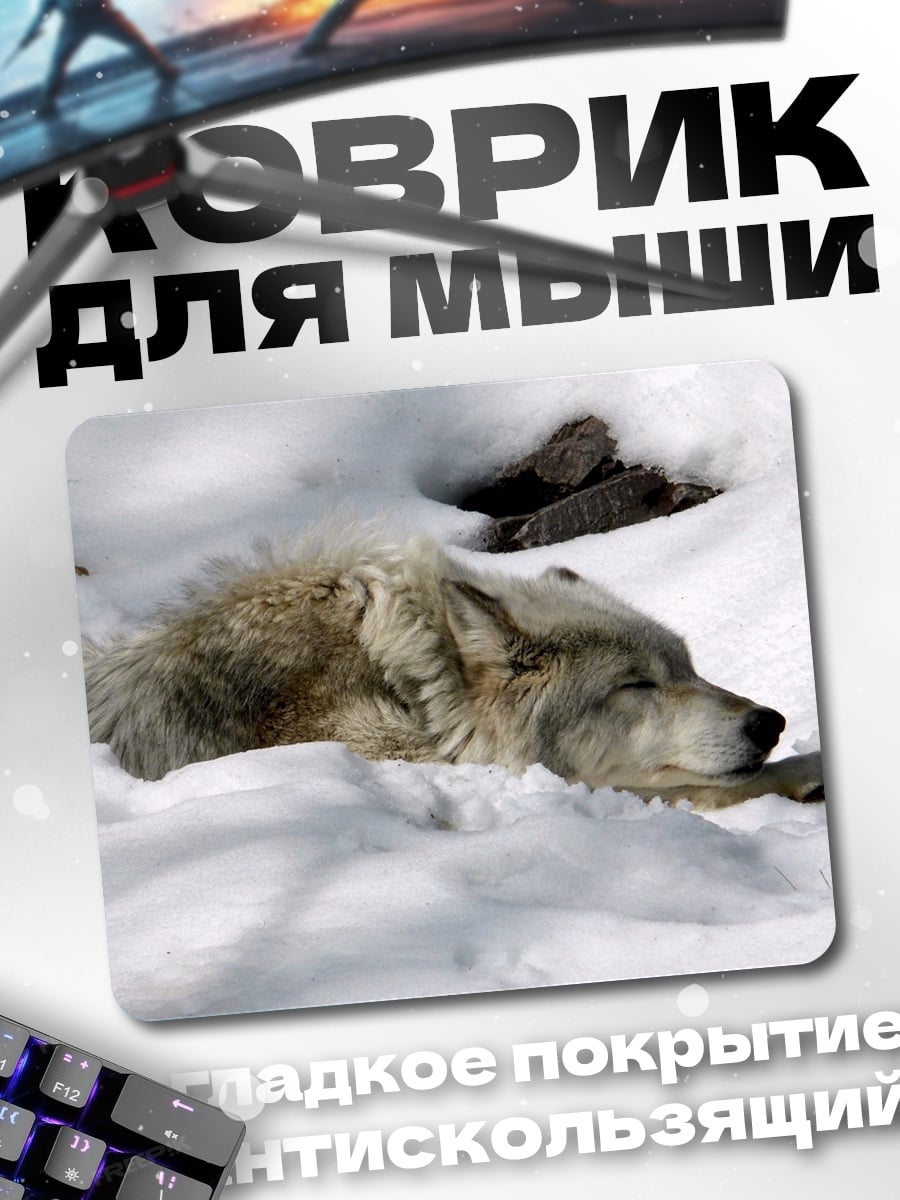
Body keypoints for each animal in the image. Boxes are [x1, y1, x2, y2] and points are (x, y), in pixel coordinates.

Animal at [83, 530, 823, 810]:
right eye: (635, 685)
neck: (417, 686)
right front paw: (802, 775)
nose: (770, 722)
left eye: (689, 669)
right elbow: (670, 788)